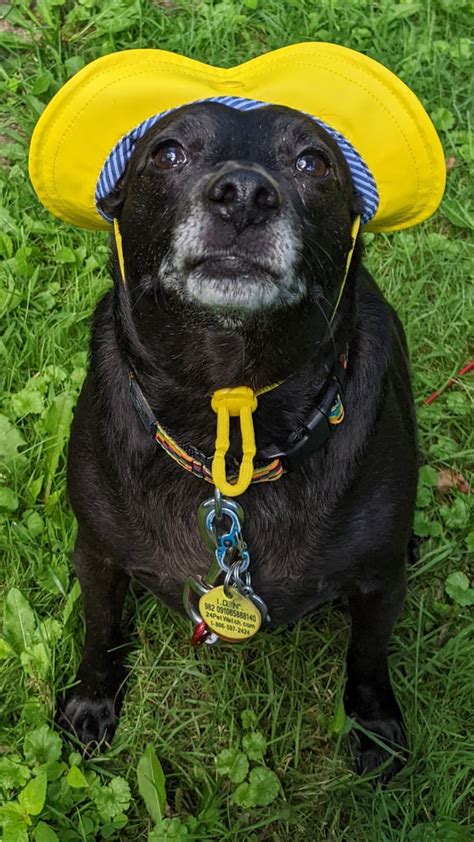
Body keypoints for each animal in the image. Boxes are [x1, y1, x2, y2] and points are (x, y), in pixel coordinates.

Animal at [61, 101, 416, 776]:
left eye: (314, 162)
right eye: (167, 153)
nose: (245, 195)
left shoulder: (380, 585)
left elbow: (368, 658)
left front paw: (376, 727)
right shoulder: (95, 554)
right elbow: (100, 631)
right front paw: (92, 701)